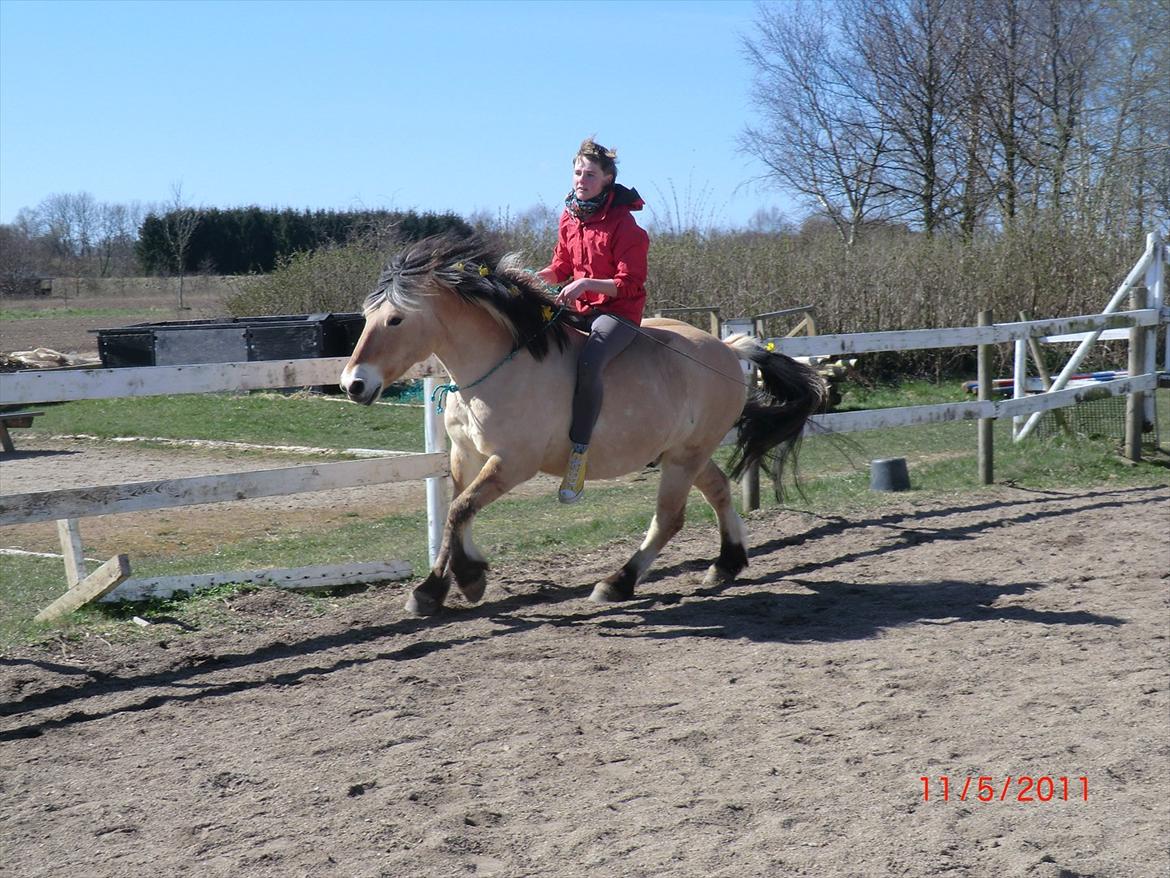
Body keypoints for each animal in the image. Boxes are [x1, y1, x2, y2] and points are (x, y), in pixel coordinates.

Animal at [341, 234, 828, 618]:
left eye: (396, 319)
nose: (353, 384)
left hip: (682, 459)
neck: (500, 365)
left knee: (670, 518)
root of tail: (729, 348)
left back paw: (618, 581)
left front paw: (458, 581)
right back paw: (726, 564)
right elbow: (455, 514)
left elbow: (460, 511)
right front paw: (445, 584)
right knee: (719, 491)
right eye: (366, 317)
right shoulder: (467, 455)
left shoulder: (512, 464)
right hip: (683, 452)